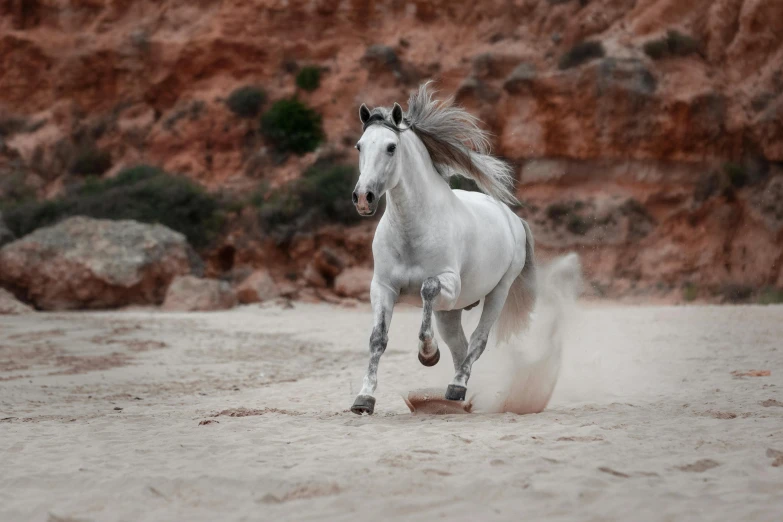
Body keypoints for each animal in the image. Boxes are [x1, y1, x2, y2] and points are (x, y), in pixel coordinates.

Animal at [352, 82, 536, 414]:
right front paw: (364, 398)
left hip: (497, 292)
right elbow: (377, 339)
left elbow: (427, 288)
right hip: (450, 311)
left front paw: (427, 354)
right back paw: (456, 393)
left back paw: (457, 387)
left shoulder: (448, 283)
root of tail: (512, 217)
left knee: (477, 341)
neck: (413, 229)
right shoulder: (382, 287)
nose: (363, 198)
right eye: (360, 146)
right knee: (460, 346)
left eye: (391, 147)